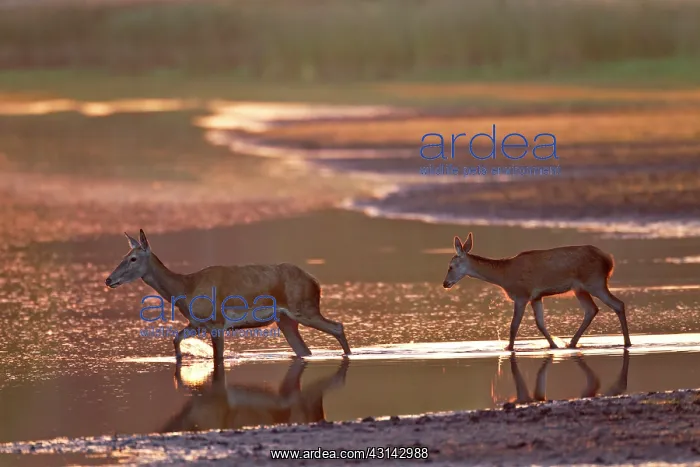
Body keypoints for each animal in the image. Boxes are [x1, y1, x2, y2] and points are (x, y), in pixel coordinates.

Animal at [104, 229, 351, 362]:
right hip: (286, 320)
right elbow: (175, 338)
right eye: (124, 256)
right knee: (304, 350)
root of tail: (315, 282)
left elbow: (218, 358)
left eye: (133, 258)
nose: (108, 279)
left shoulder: (217, 322)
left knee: (337, 326)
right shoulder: (197, 323)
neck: (186, 289)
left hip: (304, 308)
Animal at [442, 232, 631, 352]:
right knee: (592, 309)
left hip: (595, 282)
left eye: (450, 266)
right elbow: (540, 323)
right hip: (580, 288)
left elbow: (514, 326)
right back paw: (571, 344)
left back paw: (627, 343)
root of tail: (608, 260)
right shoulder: (536, 297)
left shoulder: (522, 294)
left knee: (617, 304)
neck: (504, 276)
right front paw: (553, 346)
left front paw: (508, 348)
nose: (445, 283)